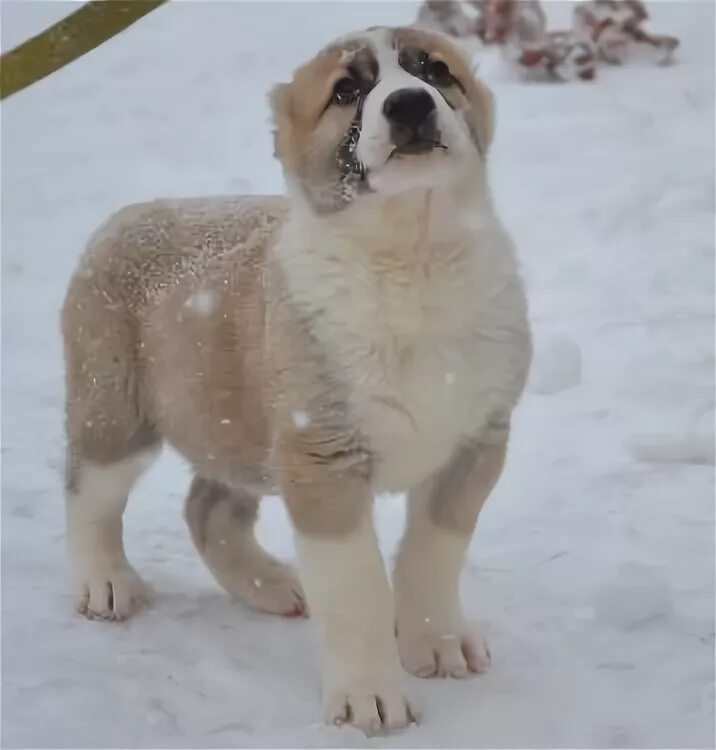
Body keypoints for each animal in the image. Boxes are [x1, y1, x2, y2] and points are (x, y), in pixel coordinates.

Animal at [61, 25, 532, 740]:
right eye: (346, 91)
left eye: (434, 70)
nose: (410, 105)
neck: (413, 260)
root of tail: (128, 217)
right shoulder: (322, 461)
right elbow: (357, 590)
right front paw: (370, 698)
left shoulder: (476, 440)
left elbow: (435, 551)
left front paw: (437, 642)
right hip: (116, 408)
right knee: (90, 493)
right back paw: (105, 582)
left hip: (241, 433)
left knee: (208, 508)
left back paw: (270, 586)